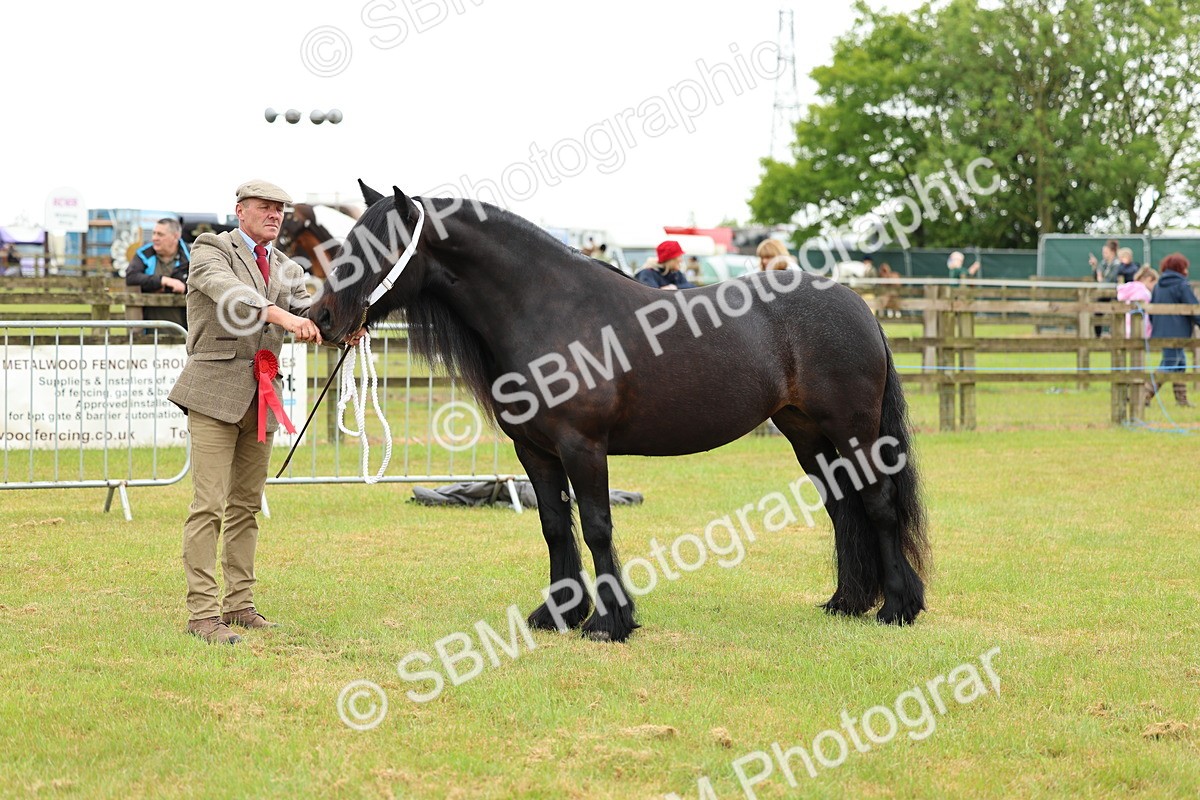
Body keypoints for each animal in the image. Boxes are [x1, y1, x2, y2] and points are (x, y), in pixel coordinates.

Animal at [307, 181, 930, 643]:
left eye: (377, 247)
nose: (323, 319)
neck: (549, 309)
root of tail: (857, 305)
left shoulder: (583, 446)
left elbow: (598, 525)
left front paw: (610, 622)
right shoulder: (534, 451)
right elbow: (555, 526)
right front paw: (556, 615)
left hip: (852, 432)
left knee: (877, 505)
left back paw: (896, 608)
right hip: (807, 436)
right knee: (843, 508)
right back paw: (846, 602)